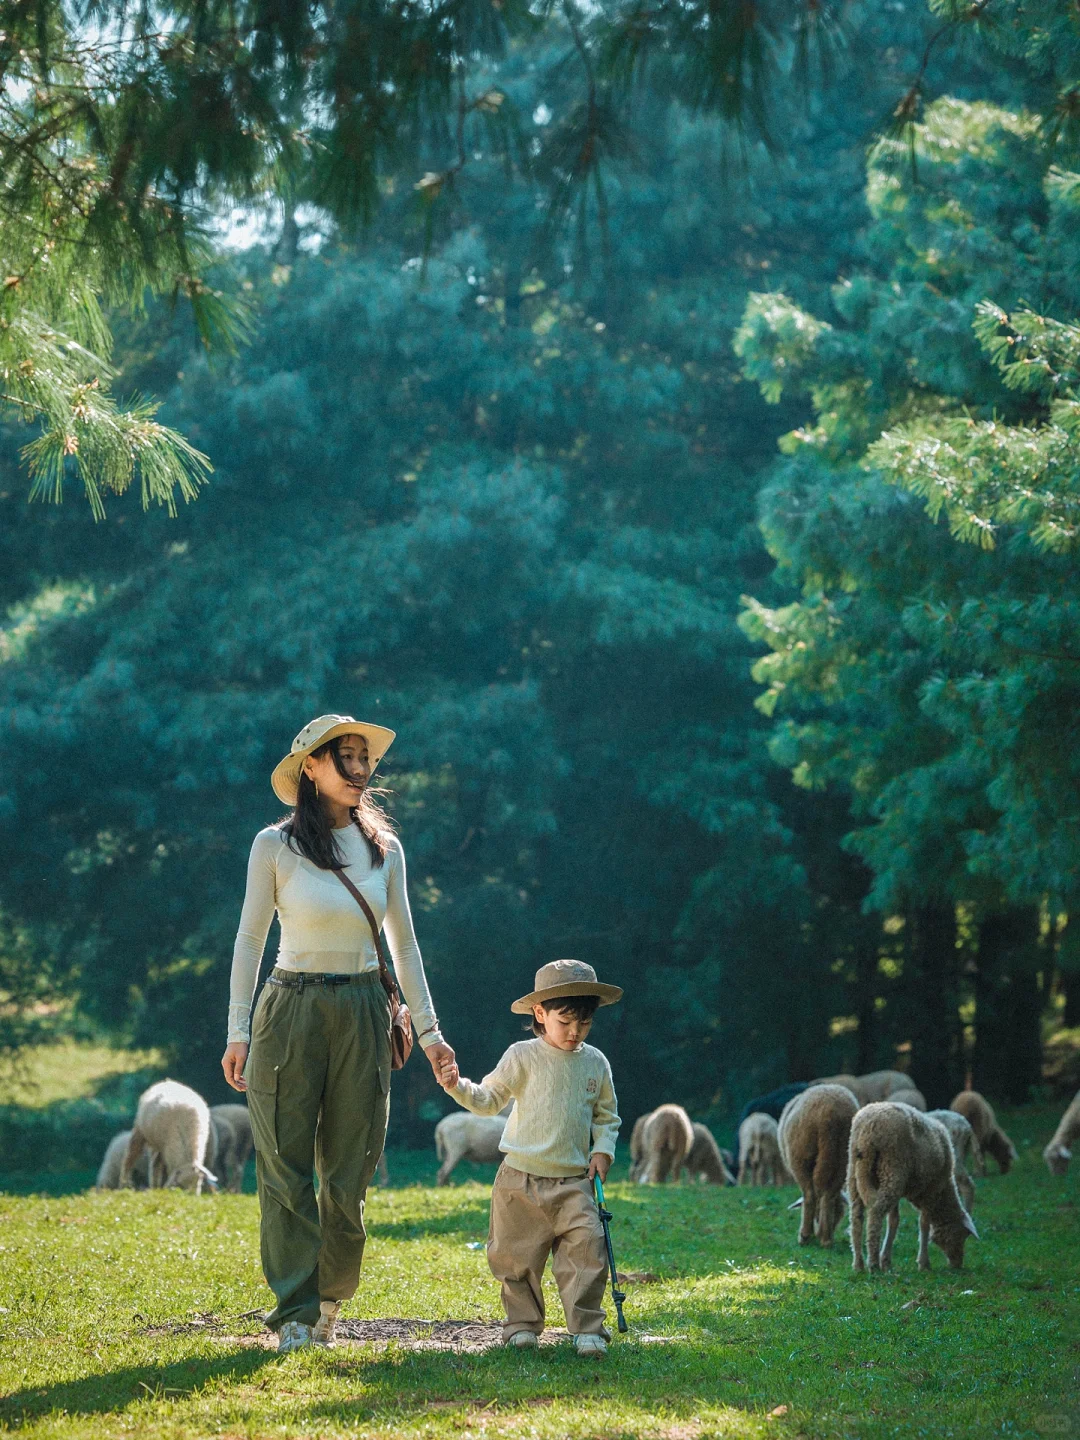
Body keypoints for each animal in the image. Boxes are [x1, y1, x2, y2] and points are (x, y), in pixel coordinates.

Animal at [777, 1082, 864, 1244]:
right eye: (838, 1215)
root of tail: (831, 1112)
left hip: (801, 1156)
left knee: (810, 1194)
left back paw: (805, 1235)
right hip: (842, 1158)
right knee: (828, 1195)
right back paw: (826, 1239)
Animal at [852, 1100, 984, 1272]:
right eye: (961, 1235)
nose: (957, 1265)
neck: (944, 1193)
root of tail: (867, 1128)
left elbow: (894, 1221)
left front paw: (886, 1260)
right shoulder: (931, 1189)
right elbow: (924, 1224)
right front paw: (923, 1263)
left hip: (856, 1170)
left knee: (856, 1215)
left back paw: (858, 1264)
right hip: (892, 1168)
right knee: (875, 1212)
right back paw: (873, 1264)